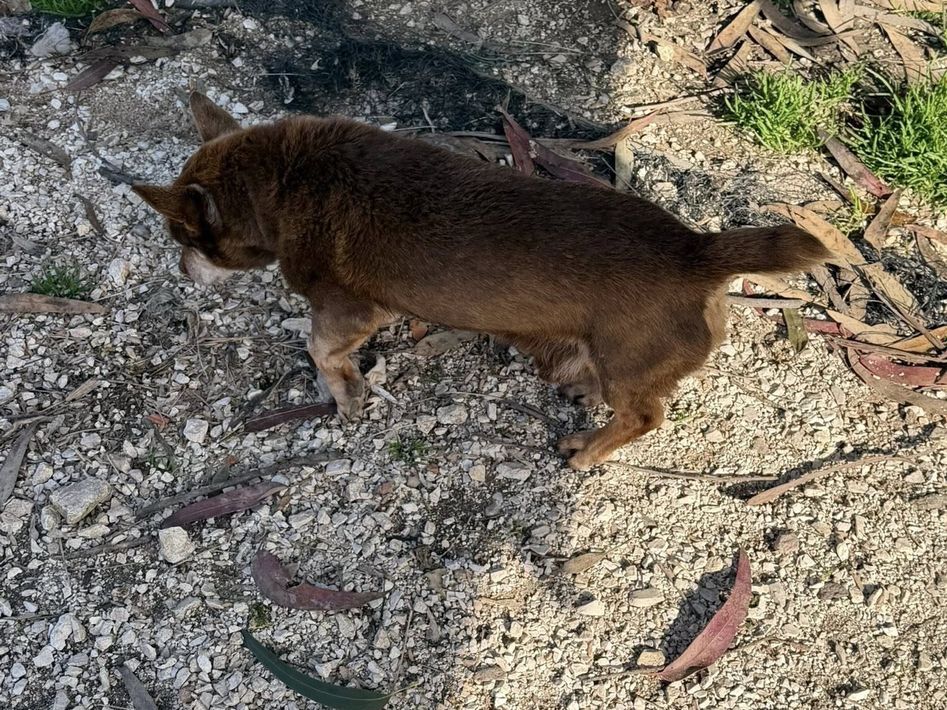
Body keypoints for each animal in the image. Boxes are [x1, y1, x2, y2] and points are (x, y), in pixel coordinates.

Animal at [133, 93, 830, 470]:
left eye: (182, 239)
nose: (179, 269)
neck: (283, 180)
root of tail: (696, 249)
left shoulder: (349, 308)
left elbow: (321, 350)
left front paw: (346, 395)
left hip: (628, 362)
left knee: (643, 415)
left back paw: (587, 447)